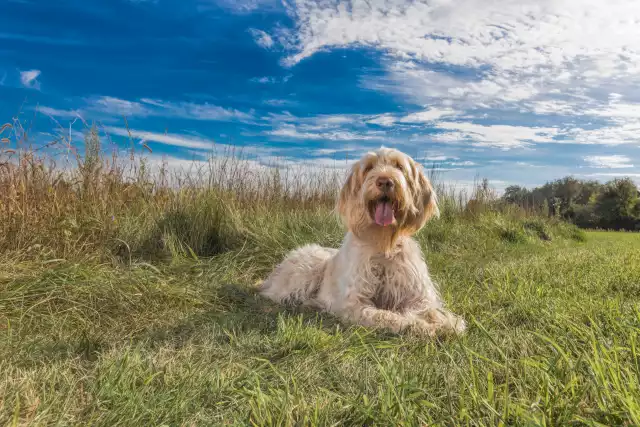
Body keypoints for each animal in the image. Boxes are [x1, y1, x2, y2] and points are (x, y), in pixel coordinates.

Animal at [258, 147, 464, 338]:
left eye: (399, 166)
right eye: (369, 167)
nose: (385, 181)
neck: (383, 245)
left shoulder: (418, 296)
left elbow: (434, 312)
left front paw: (448, 322)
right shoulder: (355, 303)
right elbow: (389, 317)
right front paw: (420, 326)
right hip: (309, 268)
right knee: (275, 295)